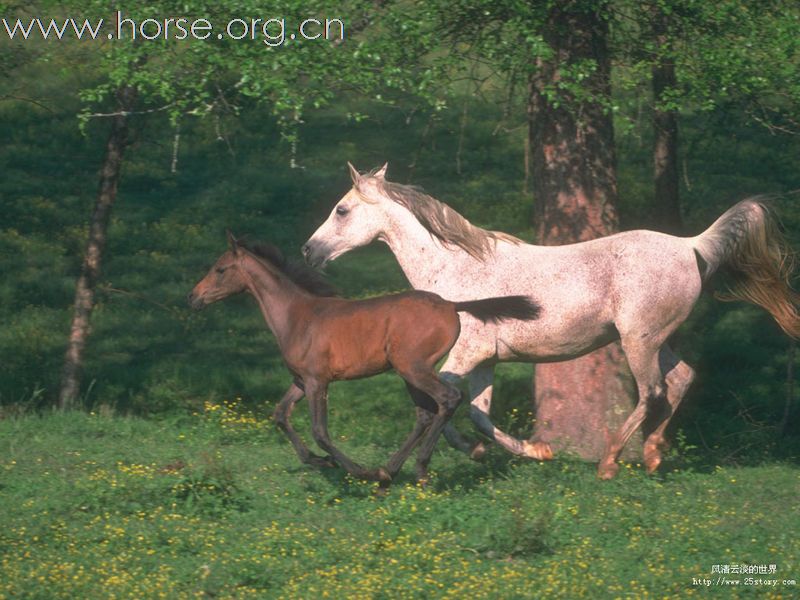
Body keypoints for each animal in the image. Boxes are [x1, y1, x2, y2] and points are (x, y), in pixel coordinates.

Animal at [302, 163, 800, 478]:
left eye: (342, 210)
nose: (309, 250)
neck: (457, 270)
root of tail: (690, 245)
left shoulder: (465, 354)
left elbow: (445, 403)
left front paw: (526, 451)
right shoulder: (486, 361)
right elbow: (477, 415)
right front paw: (521, 451)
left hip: (638, 340)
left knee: (652, 391)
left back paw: (610, 462)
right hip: (657, 338)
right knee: (681, 380)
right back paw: (654, 455)